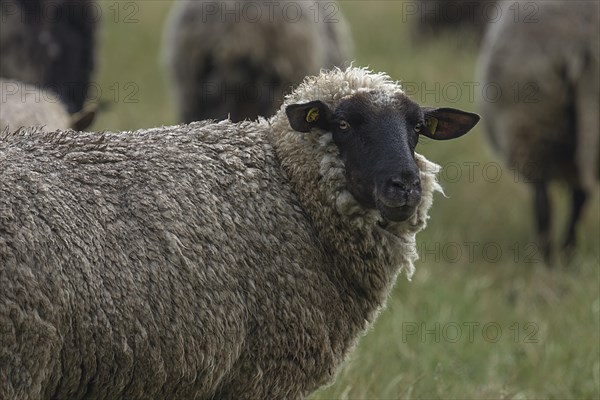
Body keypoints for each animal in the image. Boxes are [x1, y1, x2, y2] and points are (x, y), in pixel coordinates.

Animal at [0, 67, 478, 398]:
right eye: (342, 124)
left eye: (417, 129)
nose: (405, 186)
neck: (288, 185)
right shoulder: (263, 371)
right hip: (18, 358)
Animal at [478, 0, 600, 260]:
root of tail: (585, 40)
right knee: (580, 198)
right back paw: (567, 253)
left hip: (529, 119)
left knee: (543, 199)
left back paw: (546, 257)